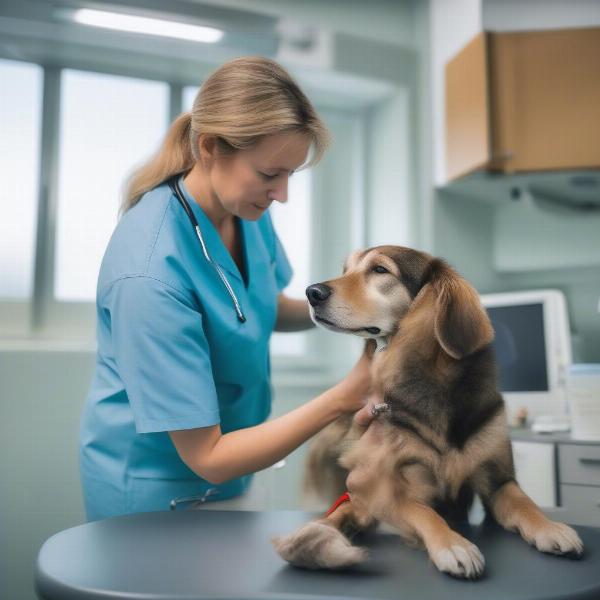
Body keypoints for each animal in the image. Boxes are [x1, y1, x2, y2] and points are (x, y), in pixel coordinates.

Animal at [270, 246, 580, 580]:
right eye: (346, 270)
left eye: (380, 270)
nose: (311, 292)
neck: (433, 385)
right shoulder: (385, 485)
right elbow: (424, 512)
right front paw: (454, 545)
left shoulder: (498, 482)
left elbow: (525, 504)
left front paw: (551, 528)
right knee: (342, 512)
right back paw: (313, 538)